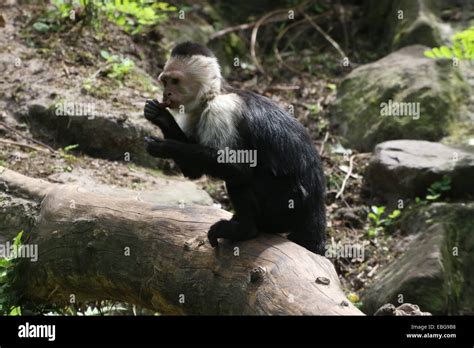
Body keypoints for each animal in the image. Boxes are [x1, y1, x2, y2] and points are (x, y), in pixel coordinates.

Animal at [144, 41, 326, 256]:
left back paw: (245, 229)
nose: (166, 94)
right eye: (165, 82)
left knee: (241, 178)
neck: (213, 94)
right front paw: (160, 117)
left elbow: (239, 169)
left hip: (289, 202)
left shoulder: (221, 110)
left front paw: (164, 146)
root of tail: (316, 205)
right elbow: (193, 171)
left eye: (175, 81)